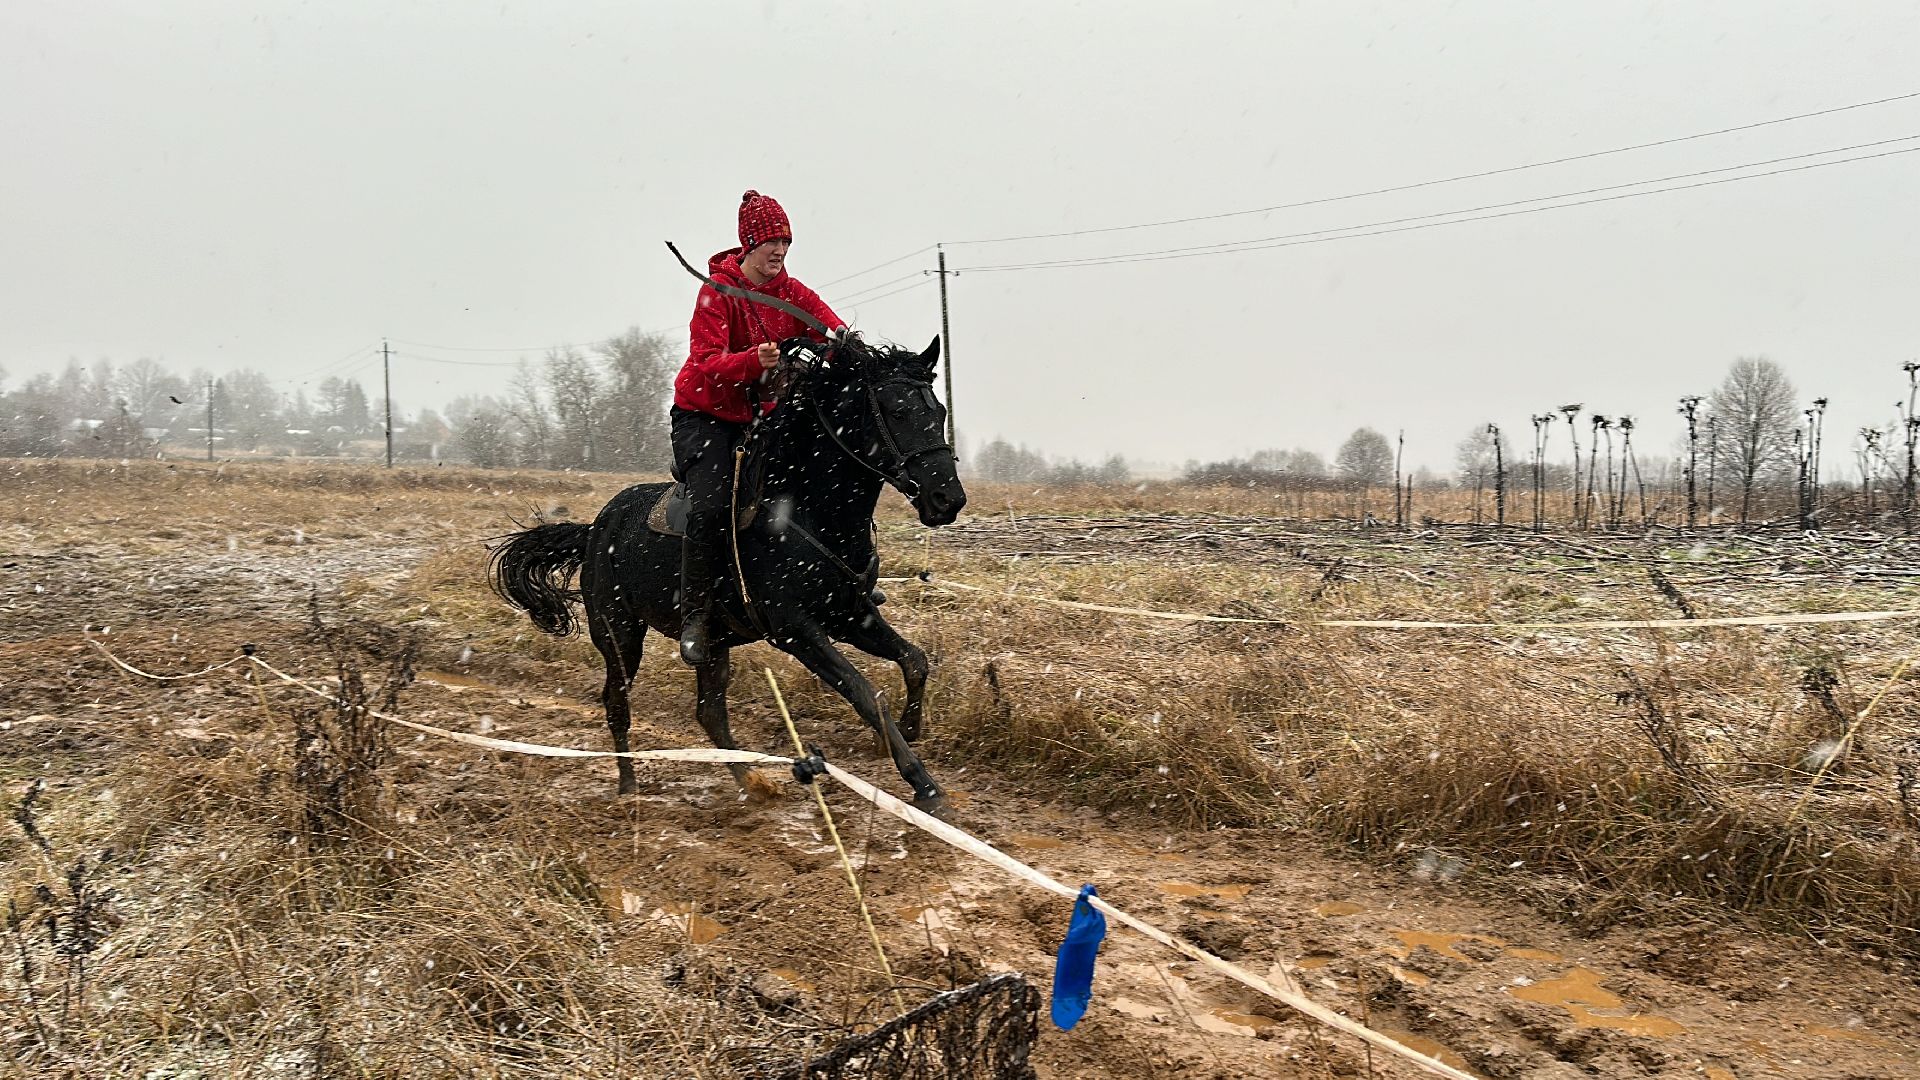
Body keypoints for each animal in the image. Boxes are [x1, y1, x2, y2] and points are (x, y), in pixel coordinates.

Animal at [488, 333, 965, 812]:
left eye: (939, 413)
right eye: (897, 411)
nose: (948, 499)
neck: (806, 512)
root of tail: (594, 529)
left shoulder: (851, 618)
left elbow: (914, 660)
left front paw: (908, 731)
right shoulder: (796, 630)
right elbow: (864, 693)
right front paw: (924, 785)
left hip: (714, 643)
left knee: (710, 713)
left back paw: (752, 781)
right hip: (618, 632)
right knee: (617, 703)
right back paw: (628, 786)